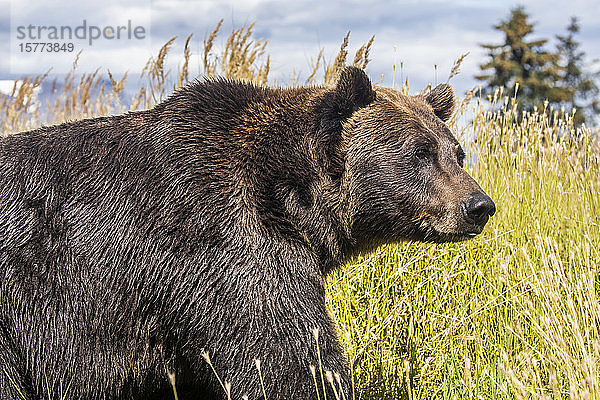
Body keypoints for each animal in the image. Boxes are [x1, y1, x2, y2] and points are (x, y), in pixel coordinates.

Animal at [0, 67, 494, 398]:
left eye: (457, 152)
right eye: (419, 153)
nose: (479, 206)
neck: (291, 198)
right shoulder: (226, 249)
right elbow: (286, 359)